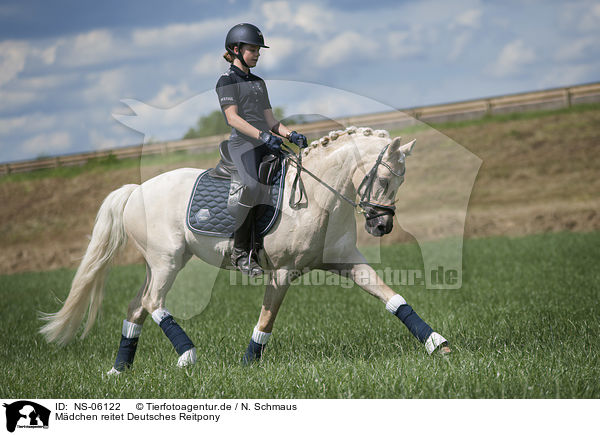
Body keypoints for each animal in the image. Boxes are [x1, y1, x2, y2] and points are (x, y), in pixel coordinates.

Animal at [38, 126, 450, 374]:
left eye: (400, 182)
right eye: (384, 180)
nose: (382, 226)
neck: (320, 197)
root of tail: (136, 190)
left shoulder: (345, 260)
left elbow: (392, 297)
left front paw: (438, 344)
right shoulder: (282, 272)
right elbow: (267, 319)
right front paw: (249, 363)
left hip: (161, 263)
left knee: (136, 306)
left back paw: (120, 368)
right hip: (167, 260)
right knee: (153, 302)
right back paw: (187, 355)